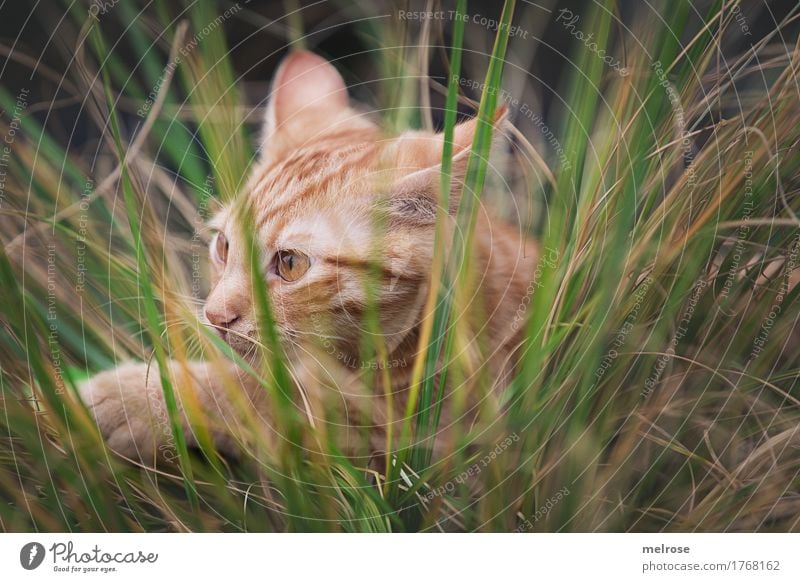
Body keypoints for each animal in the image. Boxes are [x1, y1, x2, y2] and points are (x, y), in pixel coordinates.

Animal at [79, 52, 536, 468]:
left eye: (290, 264)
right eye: (224, 246)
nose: (214, 316)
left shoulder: (398, 438)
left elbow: (253, 395)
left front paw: (133, 398)